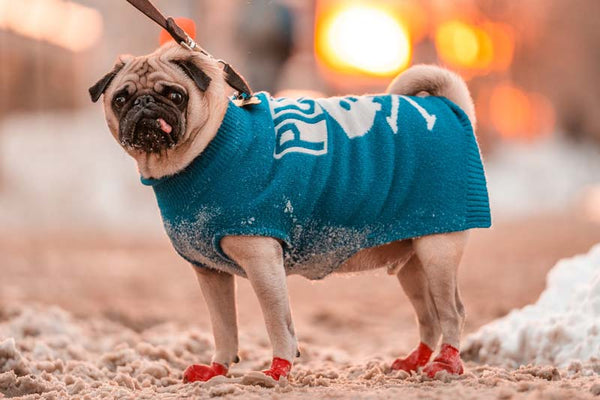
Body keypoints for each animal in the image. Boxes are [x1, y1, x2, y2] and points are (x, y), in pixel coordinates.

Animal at [91, 42, 490, 382]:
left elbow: (276, 322)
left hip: (437, 251)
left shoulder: (262, 261)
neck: (206, 150)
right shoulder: (210, 273)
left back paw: (447, 364)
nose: (144, 103)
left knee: (453, 312)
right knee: (430, 316)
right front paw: (217, 369)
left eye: (174, 95)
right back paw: (415, 361)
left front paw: (278, 371)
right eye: (121, 99)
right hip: (412, 261)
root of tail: (451, 110)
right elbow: (223, 327)